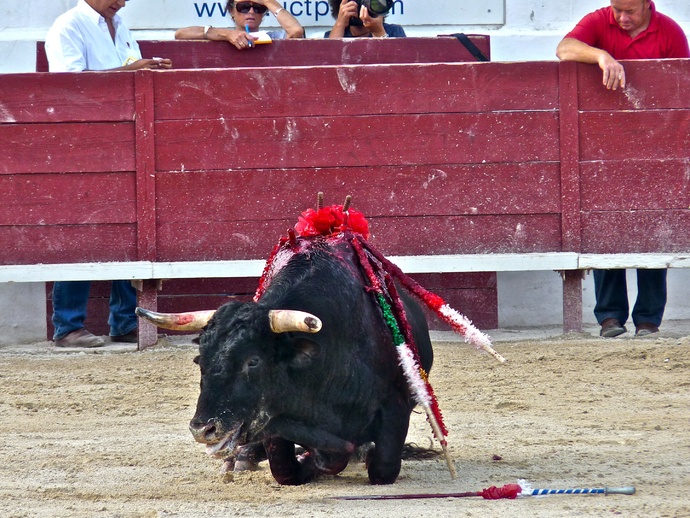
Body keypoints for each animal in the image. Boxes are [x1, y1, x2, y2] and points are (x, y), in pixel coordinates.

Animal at [138, 235, 433, 485]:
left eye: (253, 361)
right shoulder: (276, 419)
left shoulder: (395, 407)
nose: (203, 429)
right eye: (201, 361)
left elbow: (382, 468)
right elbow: (287, 469)